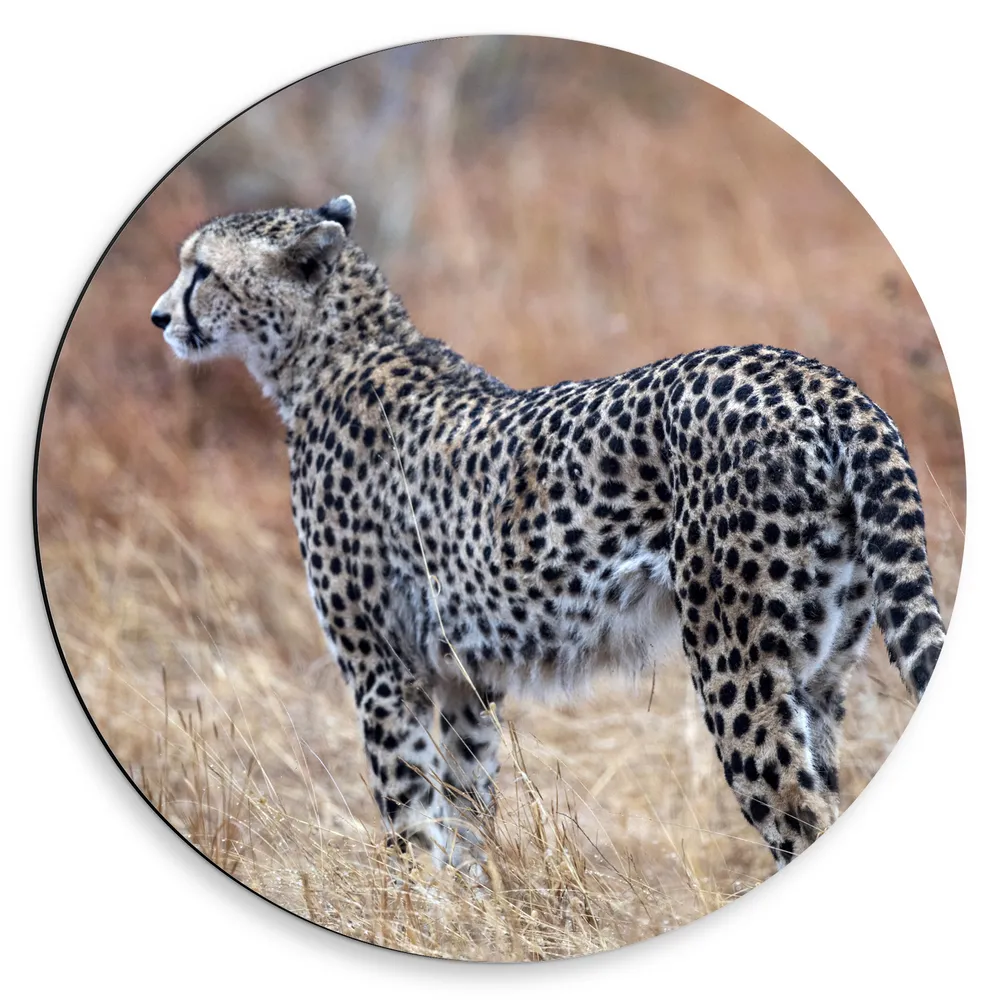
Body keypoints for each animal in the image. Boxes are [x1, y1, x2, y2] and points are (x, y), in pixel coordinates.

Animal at [151, 194, 945, 877]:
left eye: (202, 270)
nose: (159, 316)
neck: (334, 351)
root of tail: (817, 376)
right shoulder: (466, 679)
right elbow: (466, 806)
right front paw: (474, 910)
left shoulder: (381, 670)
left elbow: (410, 818)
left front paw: (423, 915)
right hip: (822, 670)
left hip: (738, 662)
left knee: (797, 815)